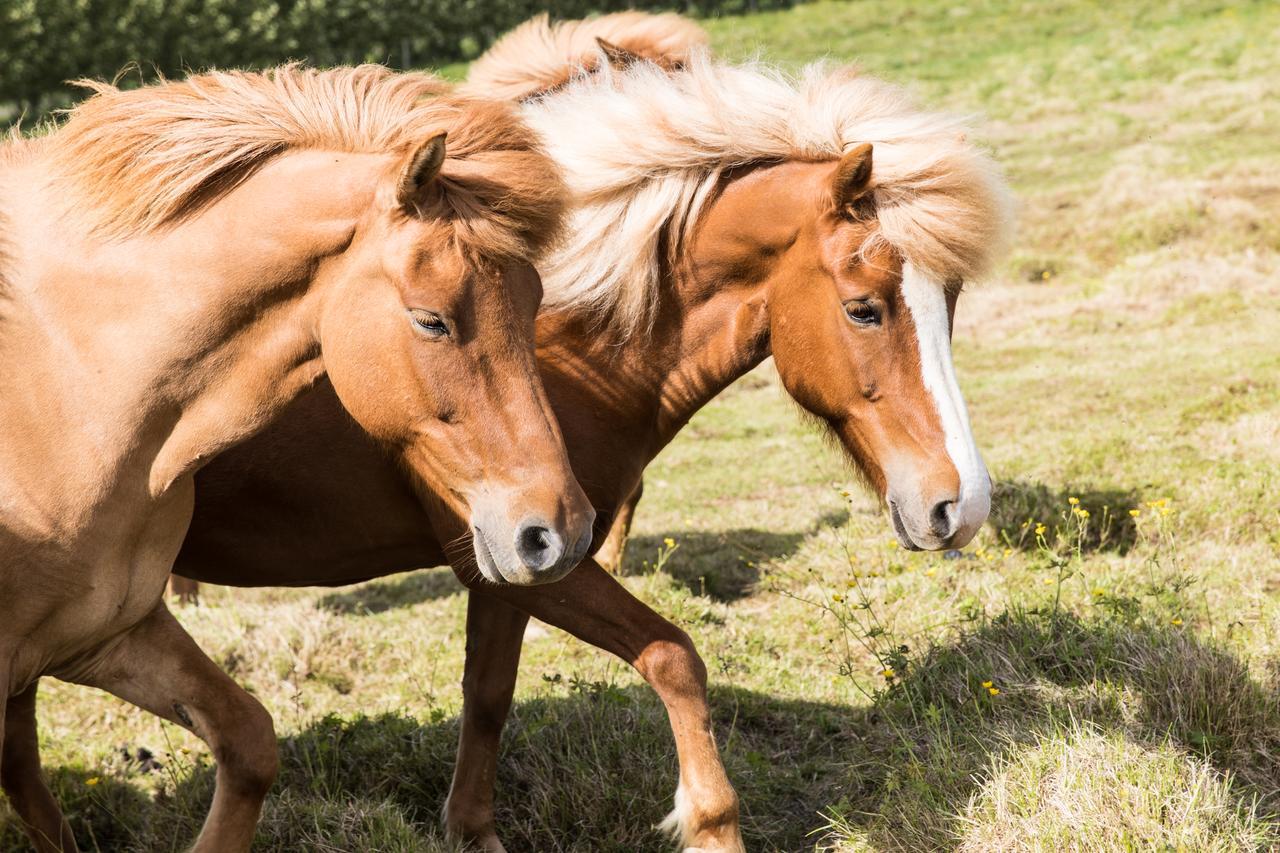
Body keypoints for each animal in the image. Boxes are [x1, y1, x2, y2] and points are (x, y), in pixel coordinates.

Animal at [0, 66, 591, 850]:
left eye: (532, 303)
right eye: (431, 319)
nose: (560, 532)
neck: (64, 383)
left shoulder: (101, 632)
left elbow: (251, 742)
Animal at [157, 16, 1008, 845]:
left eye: (952, 298)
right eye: (865, 308)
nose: (960, 506)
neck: (557, 348)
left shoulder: (516, 558)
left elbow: (489, 695)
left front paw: (471, 830)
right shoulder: (533, 553)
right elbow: (674, 656)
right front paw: (709, 820)